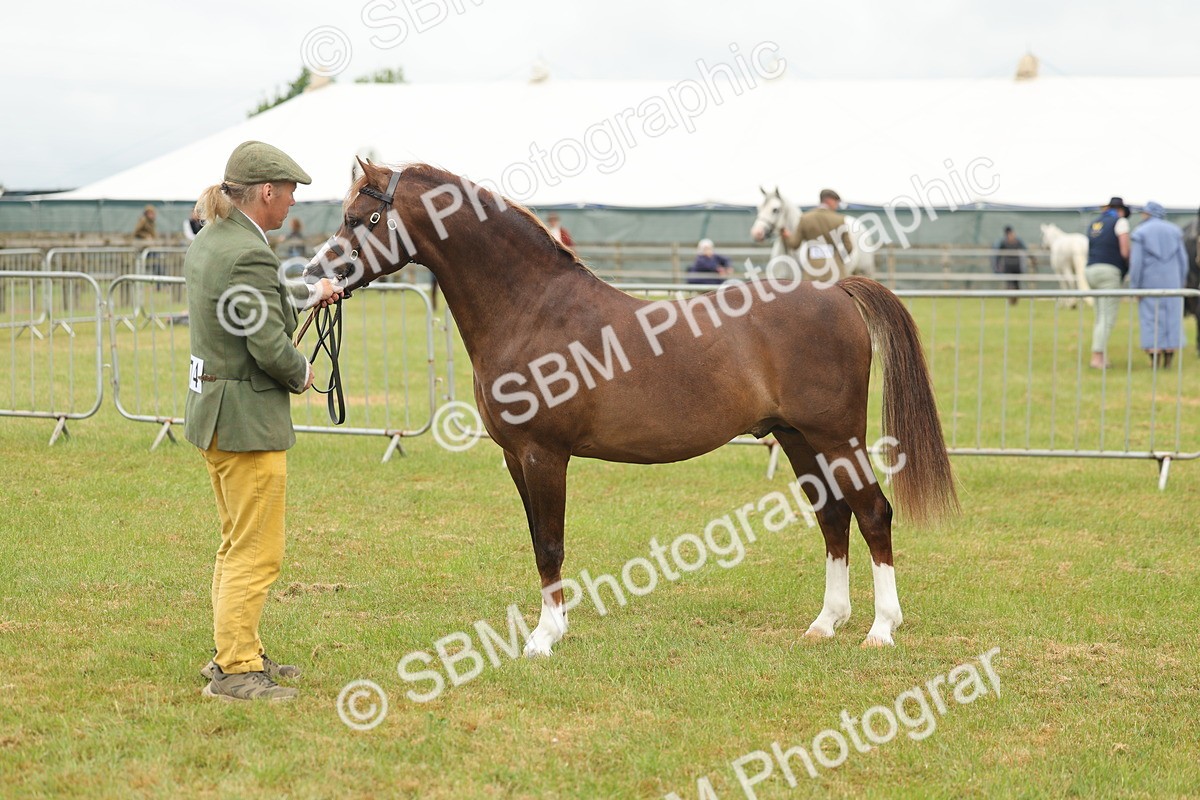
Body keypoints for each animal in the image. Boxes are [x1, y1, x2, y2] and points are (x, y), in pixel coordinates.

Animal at [305, 161, 957, 654]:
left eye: (363, 217)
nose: (312, 275)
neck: (531, 308)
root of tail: (837, 290)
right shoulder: (516, 458)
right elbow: (538, 540)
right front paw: (551, 627)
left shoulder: (544, 455)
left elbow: (551, 543)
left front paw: (544, 638)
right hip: (797, 438)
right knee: (833, 516)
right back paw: (826, 622)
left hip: (835, 435)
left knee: (872, 512)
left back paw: (881, 629)